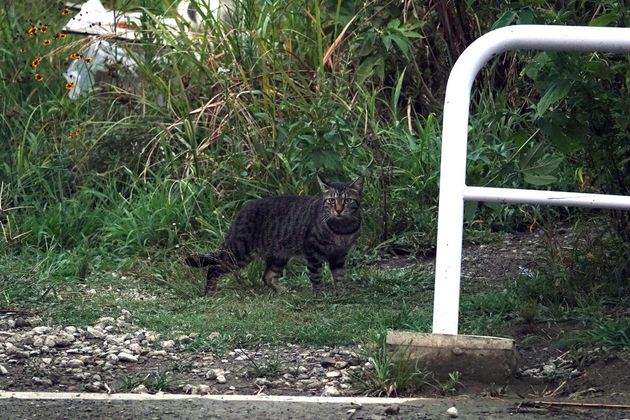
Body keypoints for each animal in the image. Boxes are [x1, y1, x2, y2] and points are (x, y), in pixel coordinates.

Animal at [185, 174, 366, 296]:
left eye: (347, 200)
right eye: (331, 201)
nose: (339, 210)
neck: (342, 229)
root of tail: (242, 210)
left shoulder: (339, 255)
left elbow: (339, 275)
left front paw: (341, 294)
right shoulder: (312, 251)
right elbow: (316, 276)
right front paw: (319, 295)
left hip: (279, 255)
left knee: (267, 276)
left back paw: (283, 291)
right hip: (238, 253)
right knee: (214, 267)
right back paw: (210, 292)